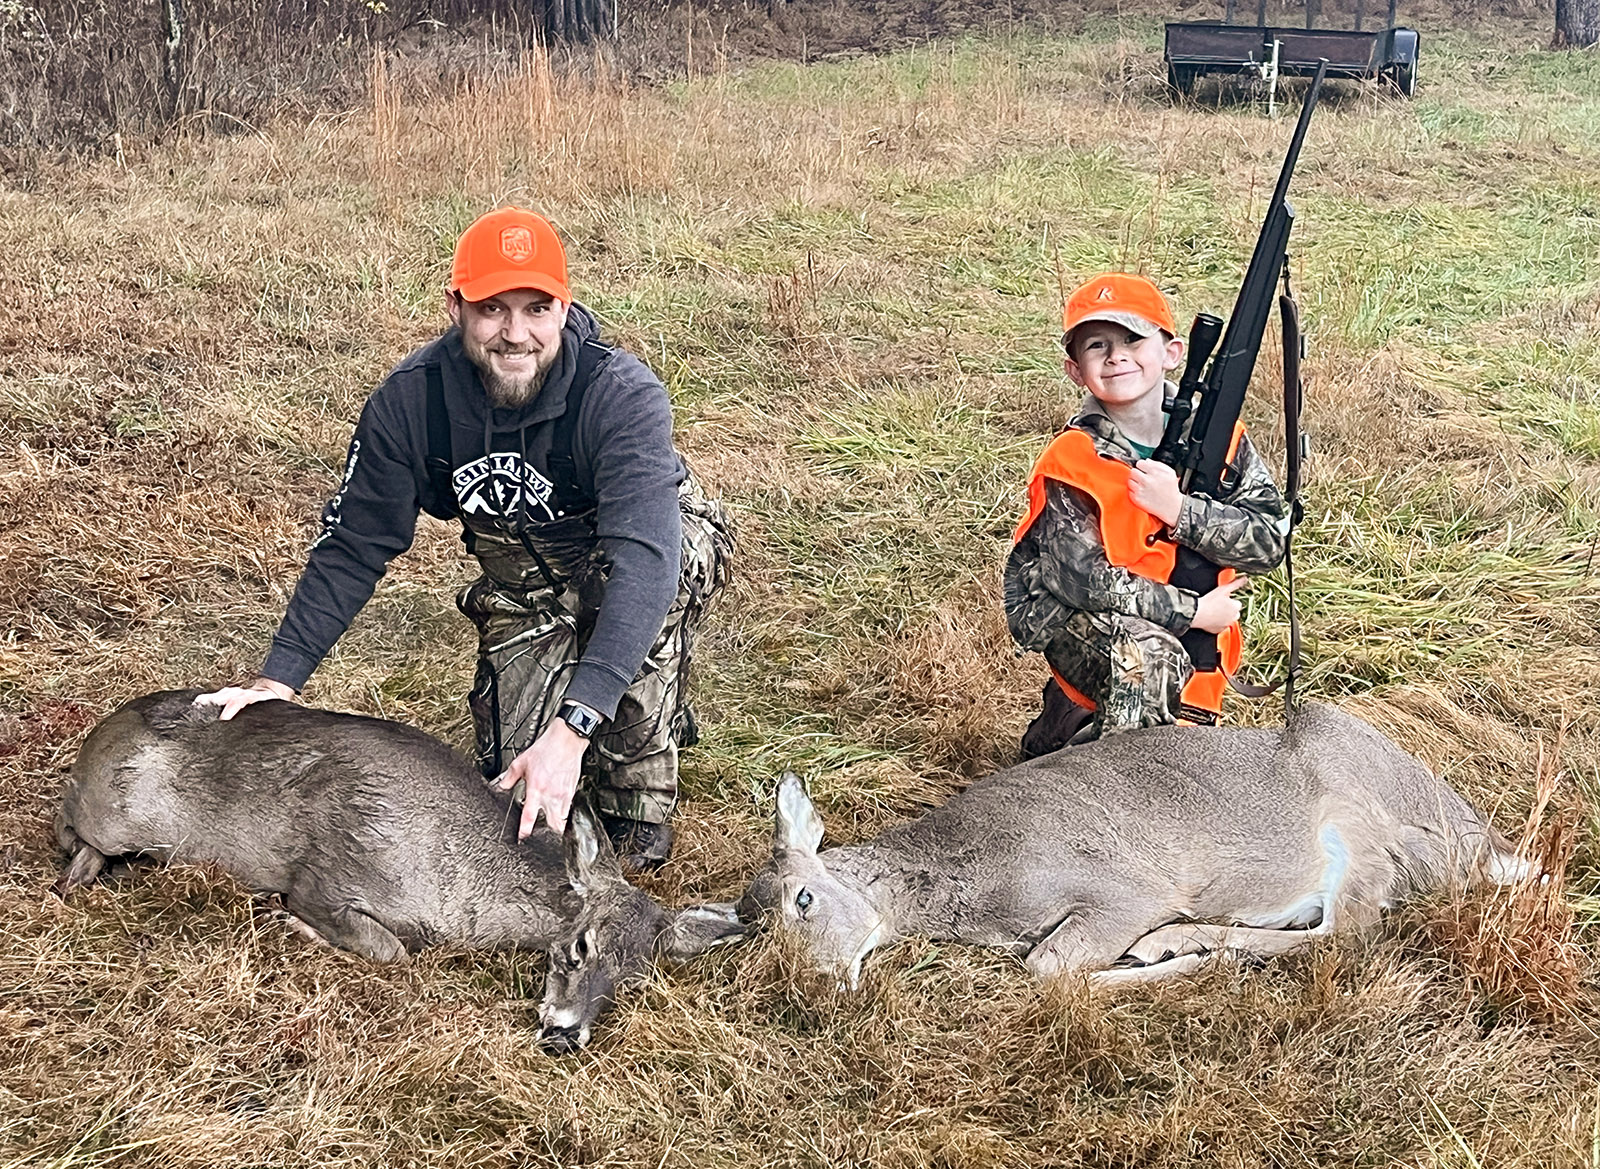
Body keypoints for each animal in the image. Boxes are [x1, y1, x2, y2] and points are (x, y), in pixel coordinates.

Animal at [55, 689, 741, 1049]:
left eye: (635, 980)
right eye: (579, 946)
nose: (566, 1034)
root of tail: (100, 734)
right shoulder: (326, 874)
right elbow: (391, 950)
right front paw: (289, 923)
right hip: (118, 814)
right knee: (69, 829)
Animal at [729, 703, 1531, 988]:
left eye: (804, 897)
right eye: (749, 931)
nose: (815, 983)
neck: (967, 876)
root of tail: (1487, 842)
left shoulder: (1123, 889)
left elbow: (1048, 968)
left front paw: (1153, 964)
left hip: (1359, 818)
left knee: (1351, 930)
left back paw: (1177, 945)